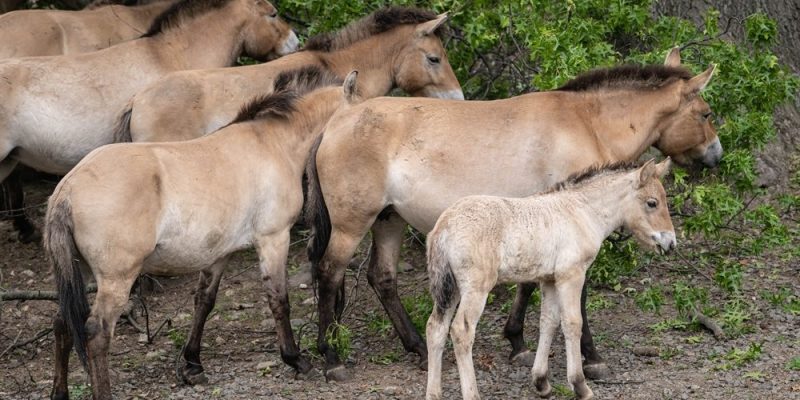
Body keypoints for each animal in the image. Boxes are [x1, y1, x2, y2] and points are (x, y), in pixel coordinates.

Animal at [45, 67, 357, 399]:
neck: (274, 145)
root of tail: (67, 189)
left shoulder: (219, 253)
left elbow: (204, 302)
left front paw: (193, 365)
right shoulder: (273, 239)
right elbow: (278, 300)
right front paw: (296, 359)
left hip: (79, 272)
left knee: (62, 323)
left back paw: (59, 392)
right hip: (117, 279)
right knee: (97, 332)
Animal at [425, 159, 675, 400]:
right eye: (652, 203)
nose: (670, 243)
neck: (582, 212)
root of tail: (443, 227)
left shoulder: (549, 280)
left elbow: (548, 322)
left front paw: (541, 383)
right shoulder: (571, 275)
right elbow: (573, 323)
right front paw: (580, 385)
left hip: (450, 288)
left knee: (435, 328)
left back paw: (433, 394)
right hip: (476, 288)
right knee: (462, 331)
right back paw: (472, 394)